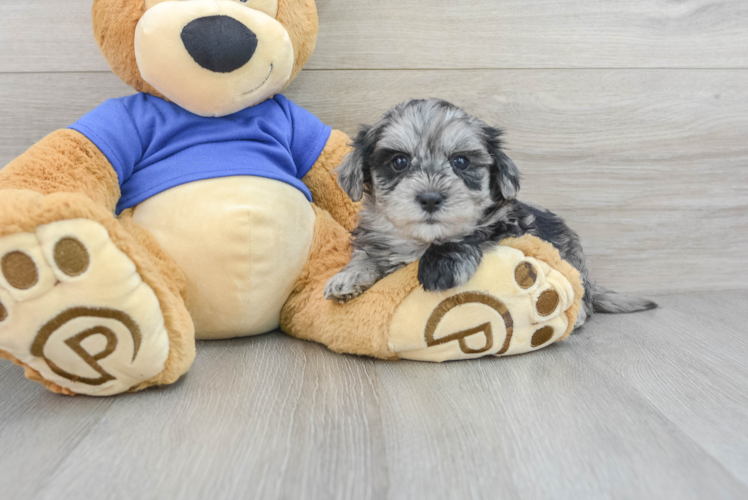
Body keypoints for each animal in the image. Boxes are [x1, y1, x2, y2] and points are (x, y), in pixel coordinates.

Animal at [324, 99, 656, 330]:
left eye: (461, 162)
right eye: (399, 161)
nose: (430, 199)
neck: (422, 241)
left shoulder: (507, 225)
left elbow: (472, 233)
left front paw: (441, 263)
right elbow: (367, 255)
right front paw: (349, 276)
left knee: (581, 298)